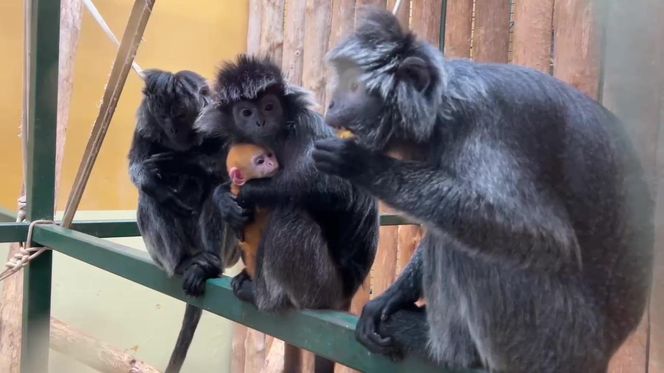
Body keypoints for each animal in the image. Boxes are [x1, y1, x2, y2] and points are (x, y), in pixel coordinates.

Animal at [127, 67, 239, 372]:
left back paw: (209, 264)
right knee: (149, 199)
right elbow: (137, 169)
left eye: (179, 114)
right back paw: (182, 263)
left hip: (230, 251)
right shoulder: (144, 127)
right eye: (163, 116)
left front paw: (186, 162)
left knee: (217, 187)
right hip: (161, 253)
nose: (173, 129)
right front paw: (160, 188)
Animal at [314, 6, 656, 372]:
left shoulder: (484, 121)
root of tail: (602, 355)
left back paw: (442, 348)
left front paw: (361, 164)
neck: (443, 108)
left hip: (553, 342)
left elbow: (542, 234)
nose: (331, 105)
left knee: (469, 250)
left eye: (354, 86)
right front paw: (391, 298)